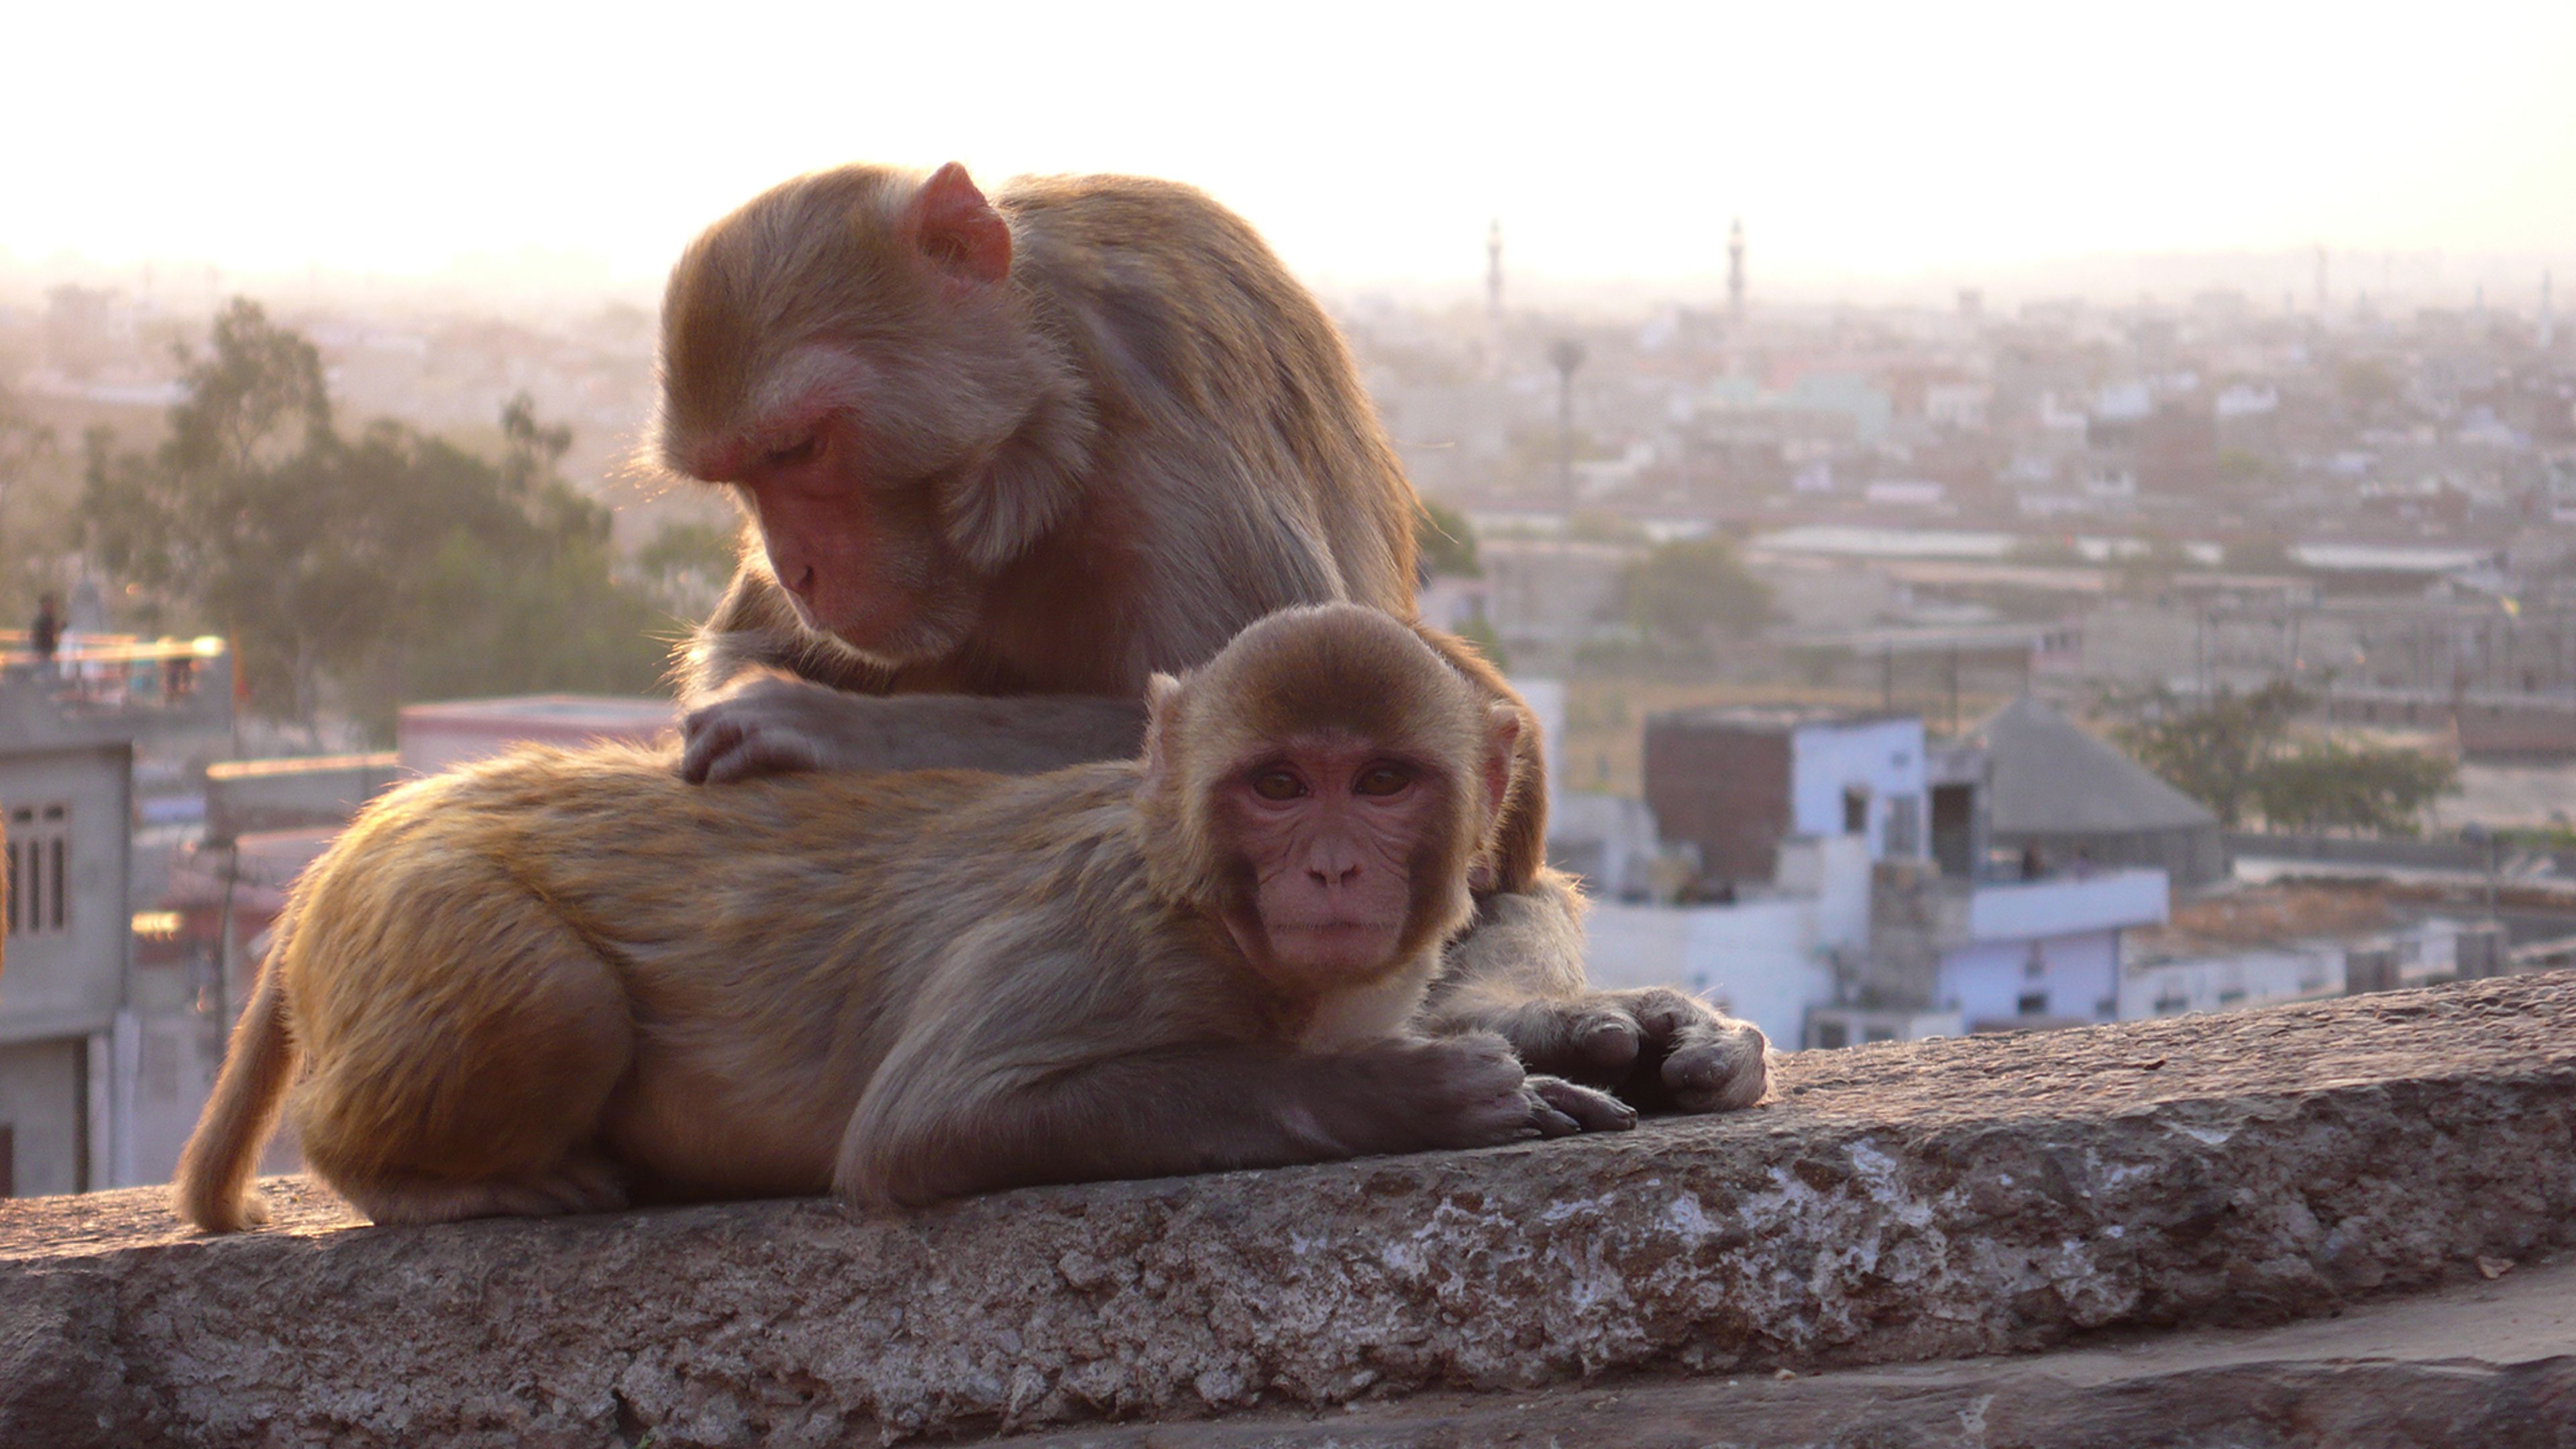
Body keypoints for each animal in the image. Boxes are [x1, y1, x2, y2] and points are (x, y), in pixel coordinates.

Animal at [173, 605, 1640, 1233]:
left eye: (1381, 782)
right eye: (1280, 786)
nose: (1332, 870)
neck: (1215, 913)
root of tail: (349, 841)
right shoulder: (1101, 940)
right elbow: (929, 1122)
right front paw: (1428, 1094)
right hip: (423, 913)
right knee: (555, 1002)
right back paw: (427, 1180)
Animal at [654, 160, 1769, 1115]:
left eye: (802, 447)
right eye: (742, 474)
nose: (798, 565)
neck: (1037, 422)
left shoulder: (1159, 399)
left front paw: (824, 727)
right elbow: (740, 652)